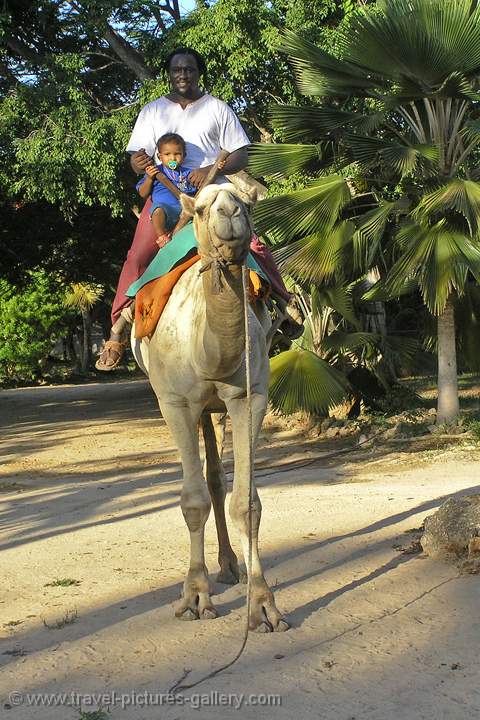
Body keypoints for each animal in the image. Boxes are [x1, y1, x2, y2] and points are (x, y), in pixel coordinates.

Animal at [130, 183, 288, 632]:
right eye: (201, 209)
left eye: (248, 203)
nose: (229, 213)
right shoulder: (175, 402)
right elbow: (192, 501)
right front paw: (195, 597)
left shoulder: (249, 397)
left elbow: (247, 503)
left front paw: (263, 606)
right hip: (194, 407)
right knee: (207, 479)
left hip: (214, 408)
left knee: (217, 476)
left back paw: (231, 565)